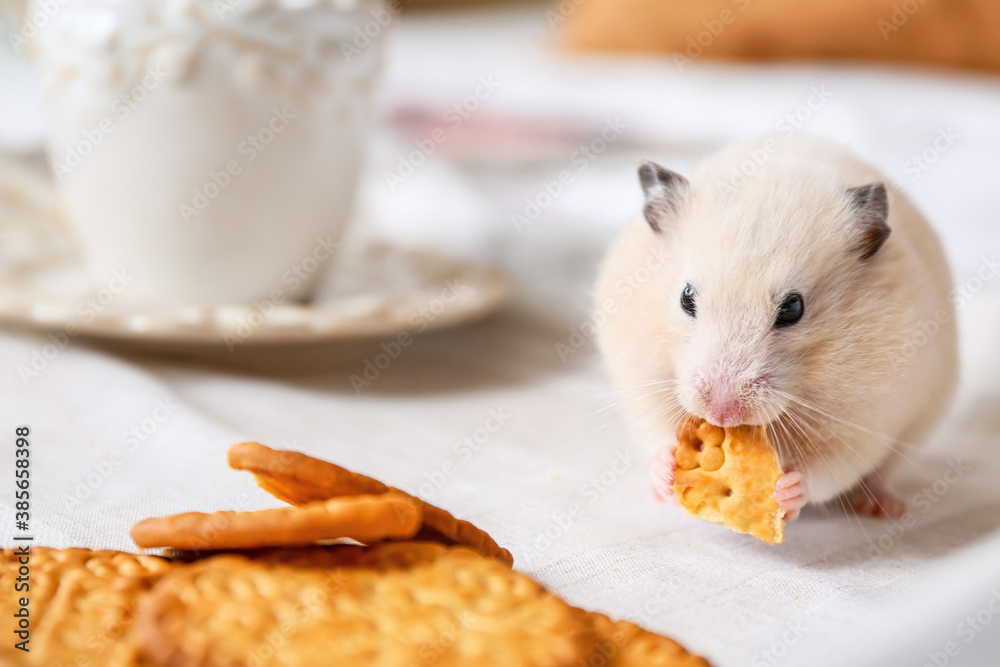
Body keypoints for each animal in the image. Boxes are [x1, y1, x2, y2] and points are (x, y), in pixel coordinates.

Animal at [592, 136, 960, 520]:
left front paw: (786, 490)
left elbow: (830, 469)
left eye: (793, 308)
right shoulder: (641, 382)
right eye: (686, 297)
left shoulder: (868, 417)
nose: (721, 414)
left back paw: (883, 506)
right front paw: (666, 470)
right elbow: (657, 433)